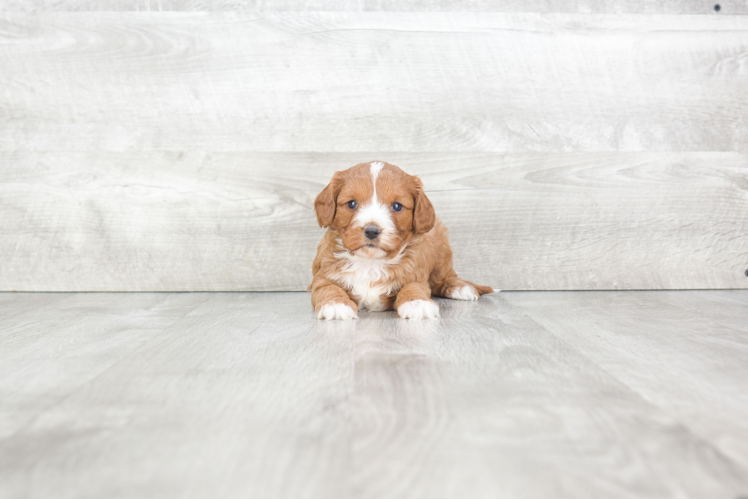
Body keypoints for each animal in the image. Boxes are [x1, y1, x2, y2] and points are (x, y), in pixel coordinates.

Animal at [306, 160, 494, 320]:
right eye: (352, 204)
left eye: (397, 206)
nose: (372, 231)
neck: (370, 262)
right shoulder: (322, 277)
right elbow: (328, 288)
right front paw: (336, 305)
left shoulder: (416, 275)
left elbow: (412, 287)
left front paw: (417, 303)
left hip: (441, 254)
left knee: (446, 277)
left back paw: (461, 288)